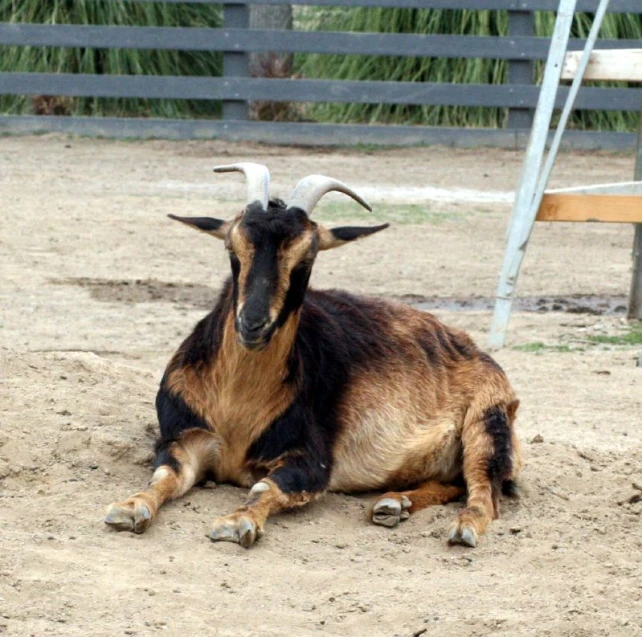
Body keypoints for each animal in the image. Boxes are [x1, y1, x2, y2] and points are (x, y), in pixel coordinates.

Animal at [105, 163, 520, 548]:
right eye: (232, 248)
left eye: (308, 257)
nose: (253, 324)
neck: (236, 408)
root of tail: (473, 351)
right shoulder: (185, 439)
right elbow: (165, 475)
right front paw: (128, 509)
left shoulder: (312, 461)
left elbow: (266, 487)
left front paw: (237, 522)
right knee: (453, 484)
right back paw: (392, 505)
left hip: (487, 426)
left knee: (484, 494)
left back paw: (461, 529)